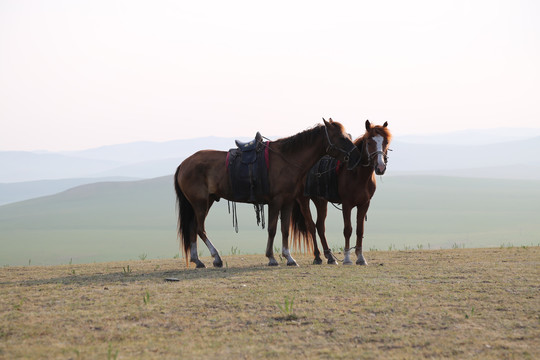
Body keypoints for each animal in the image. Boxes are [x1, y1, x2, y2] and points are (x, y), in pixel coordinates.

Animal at [173, 119, 360, 268]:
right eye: (342, 138)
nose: (356, 157)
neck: (286, 160)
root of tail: (184, 164)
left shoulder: (288, 202)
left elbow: (285, 229)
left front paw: (289, 258)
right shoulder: (275, 201)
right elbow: (272, 229)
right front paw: (271, 258)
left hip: (205, 202)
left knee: (192, 228)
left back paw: (198, 260)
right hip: (200, 203)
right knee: (199, 228)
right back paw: (216, 258)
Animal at [292, 120, 392, 264]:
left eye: (386, 142)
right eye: (369, 142)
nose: (380, 167)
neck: (357, 174)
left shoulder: (364, 204)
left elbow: (360, 230)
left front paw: (360, 258)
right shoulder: (347, 204)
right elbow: (348, 230)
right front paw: (347, 258)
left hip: (320, 200)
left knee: (320, 226)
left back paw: (329, 256)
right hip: (303, 199)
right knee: (311, 225)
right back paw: (317, 256)